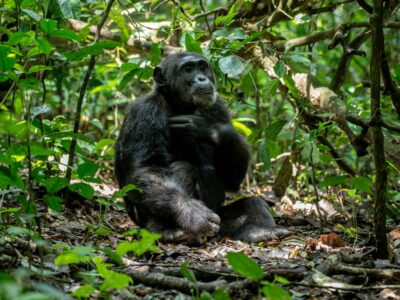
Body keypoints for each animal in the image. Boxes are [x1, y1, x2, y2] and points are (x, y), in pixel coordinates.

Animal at [114, 52, 290, 243]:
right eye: (188, 69)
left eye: (202, 67)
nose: (201, 78)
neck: (179, 106)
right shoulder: (144, 113)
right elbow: (147, 168)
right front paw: (193, 214)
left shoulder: (218, 107)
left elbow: (231, 179)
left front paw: (213, 130)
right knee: (183, 168)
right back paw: (168, 231)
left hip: (221, 221)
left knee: (252, 203)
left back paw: (260, 230)